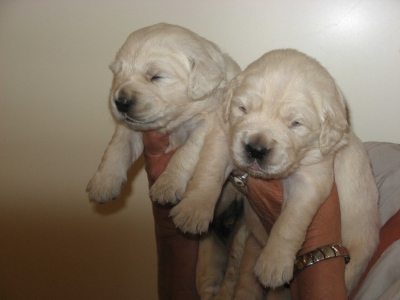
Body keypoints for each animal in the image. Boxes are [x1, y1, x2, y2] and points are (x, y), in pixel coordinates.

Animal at [85, 23, 239, 234]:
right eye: (116, 74)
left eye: (156, 76)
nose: (120, 102)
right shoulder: (130, 127)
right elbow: (117, 147)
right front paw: (103, 183)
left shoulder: (208, 122)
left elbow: (186, 151)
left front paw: (167, 185)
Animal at [223, 49, 380, 296]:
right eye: (242, 108)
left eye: (296, 123)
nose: (256, 149)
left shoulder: (311, 180)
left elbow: (288, 222)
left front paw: (273, 265)